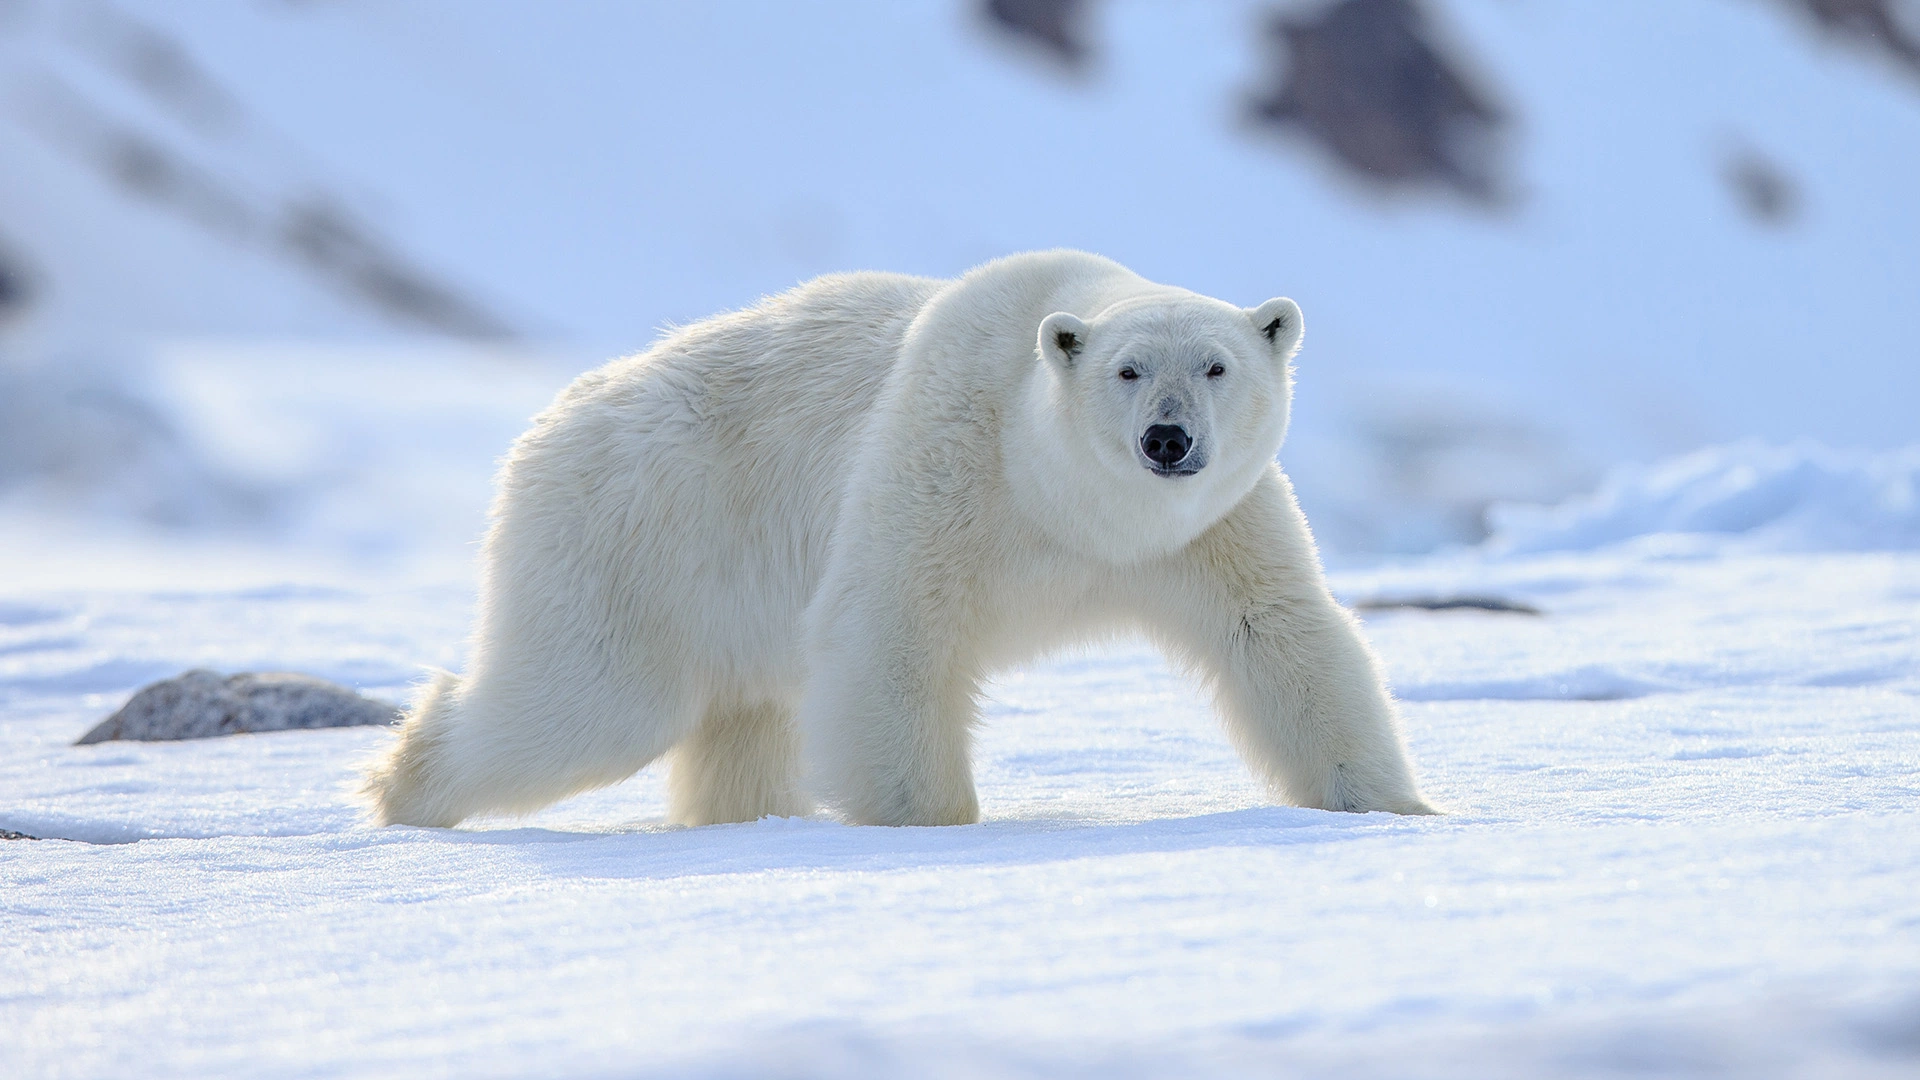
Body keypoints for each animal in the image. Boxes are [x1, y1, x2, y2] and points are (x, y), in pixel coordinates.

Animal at [362, 251, 1443, 822]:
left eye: (1217, 365)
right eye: (1128, 370)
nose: (1168, 440)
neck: (1065, 505)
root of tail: (550, 422)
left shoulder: (1210, 531)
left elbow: (1281, 638)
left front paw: (1398, 809)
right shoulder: (945, 464)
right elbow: (891, 633)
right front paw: (928, 825)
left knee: (741, 723)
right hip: (636, 536)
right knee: (585, 704)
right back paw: (404, 787)